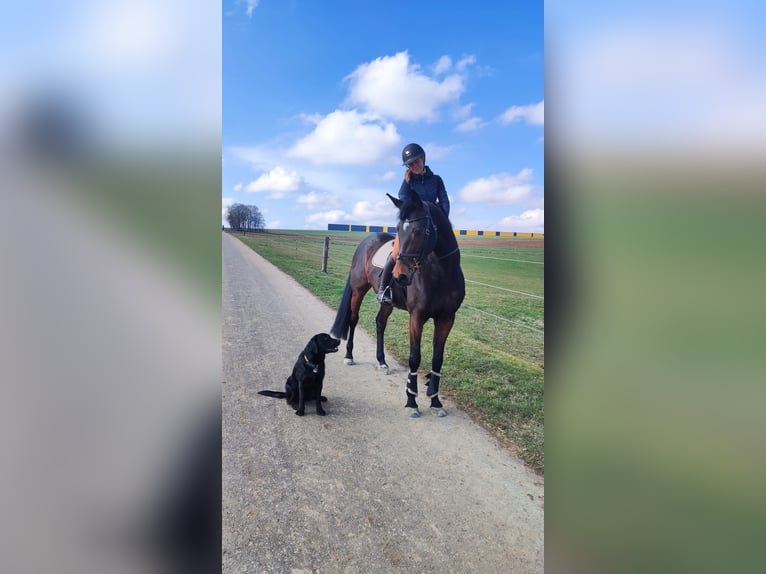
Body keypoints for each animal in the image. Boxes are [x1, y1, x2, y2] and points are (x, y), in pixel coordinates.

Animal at [332, 190, 468, 418]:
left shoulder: (447, 319)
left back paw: (381, 361)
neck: (441, 274)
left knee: (380, 323)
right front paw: (412, 401)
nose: (399, 276)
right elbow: (415, 357)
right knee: (353, 319)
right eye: (397, 229)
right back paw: (349, 356)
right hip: (359, 290)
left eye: (419, 231)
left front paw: (435, 400)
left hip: (387, 303)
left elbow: (437, 358)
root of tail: (365, 241)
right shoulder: (417, 317)